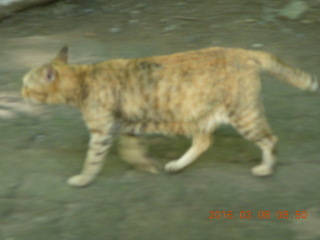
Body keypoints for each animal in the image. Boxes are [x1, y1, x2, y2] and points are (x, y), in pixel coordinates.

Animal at [21, 46, 318, 187]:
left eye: (26, 84)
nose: (20, 91)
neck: (83, 79)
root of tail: (245, 51)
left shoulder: (102, 131)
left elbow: (92, 160)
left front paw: (83, 179)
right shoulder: (126, 126)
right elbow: (132, 149)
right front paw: (144, 165)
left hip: (243, 115)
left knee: (270, 139)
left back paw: (266, 168)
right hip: (200, 115)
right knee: (204, 141)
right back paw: (176, 165)